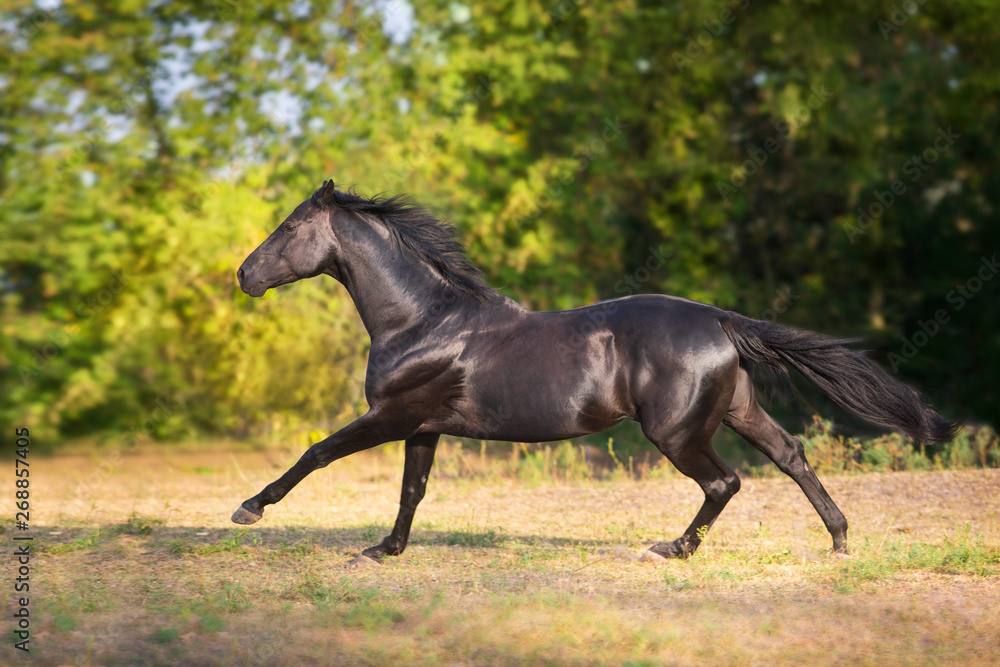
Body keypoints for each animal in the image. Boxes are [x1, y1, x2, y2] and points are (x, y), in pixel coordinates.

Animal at [232, 179, 952, 564]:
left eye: (291, 225)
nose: (243, 275)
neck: (423, 321)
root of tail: (719, 320)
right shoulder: (423, 426)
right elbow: (413, 490)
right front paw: (386, 549)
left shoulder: (393, 414)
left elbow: (318, 451)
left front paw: (249, 509)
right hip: (738, 410)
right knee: (791, 456)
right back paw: (839, 540)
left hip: (677, 431)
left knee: (725, 482)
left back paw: (673, 549)